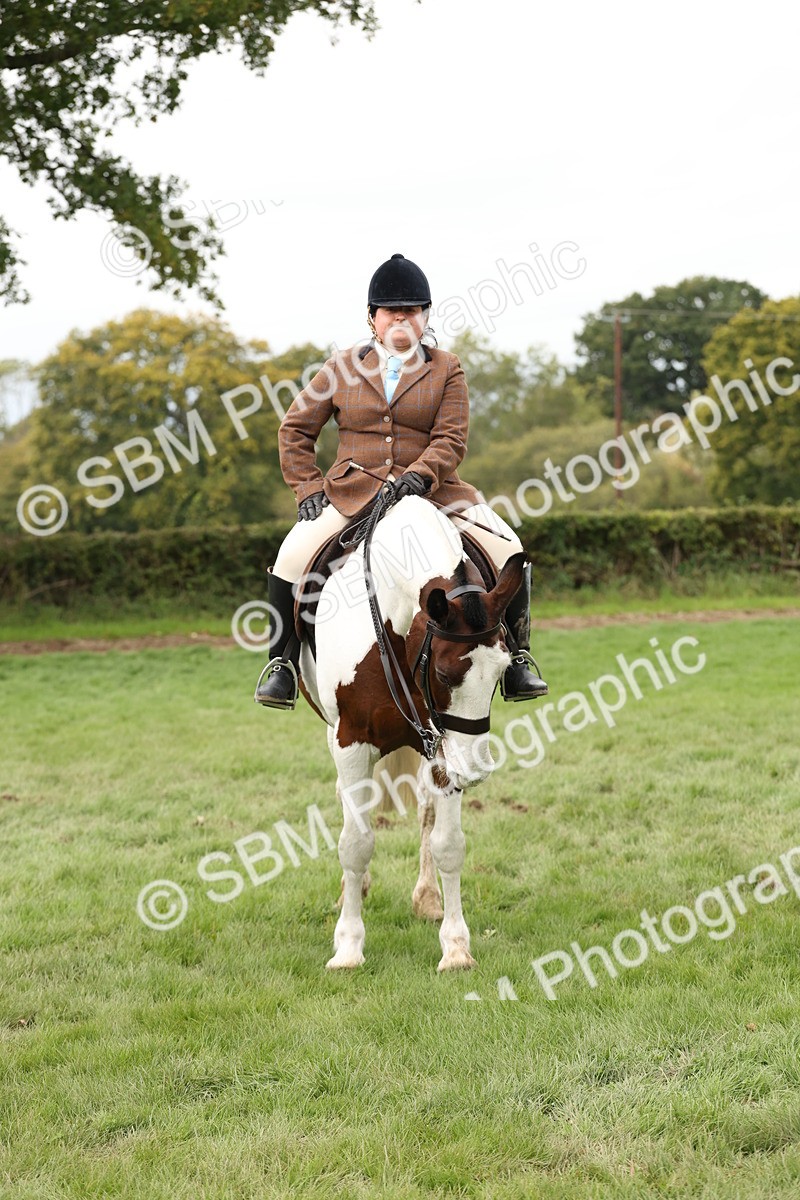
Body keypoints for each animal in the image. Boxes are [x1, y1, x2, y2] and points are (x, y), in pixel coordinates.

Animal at [296, 493, 526, 972]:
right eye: (442, 672)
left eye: (503, 669)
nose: (475, 771)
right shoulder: (350, 742)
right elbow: (355, 843)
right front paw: (348, 947)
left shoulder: (442, 744)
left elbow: (448, 843)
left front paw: (456, 948)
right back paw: (353, 892)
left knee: (425, 809)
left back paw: (427, 898)